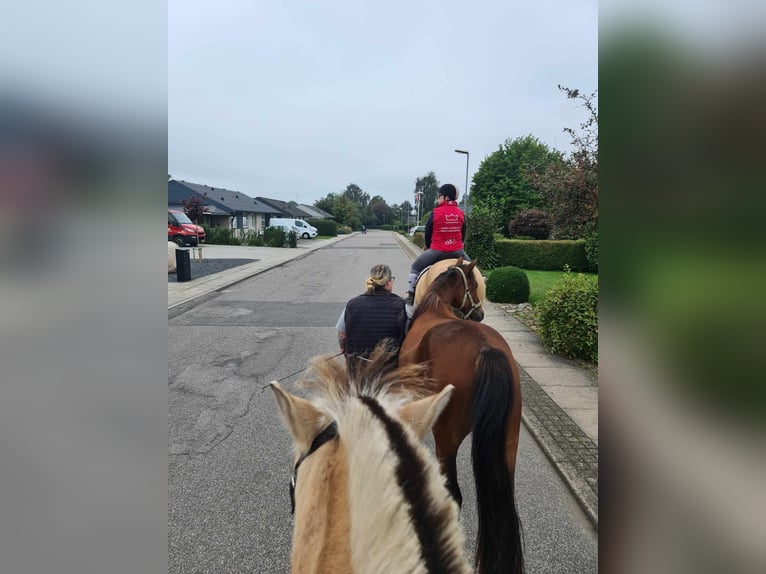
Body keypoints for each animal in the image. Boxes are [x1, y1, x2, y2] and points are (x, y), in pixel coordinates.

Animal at [400, 260, 524, 574]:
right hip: (509, 440)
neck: (435, 305)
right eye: (476, 284)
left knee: (453, 494)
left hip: (447, 436)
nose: (479, 313)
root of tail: (485, 349)